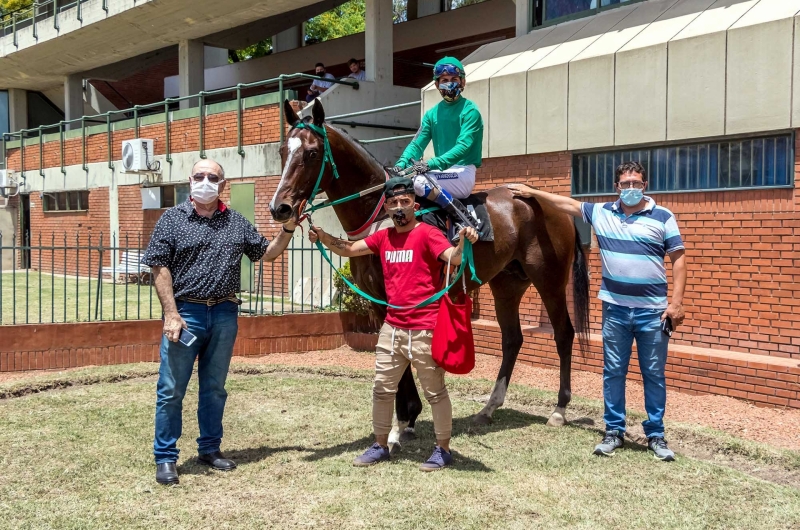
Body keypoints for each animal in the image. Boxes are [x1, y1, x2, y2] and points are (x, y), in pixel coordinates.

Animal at [268, 99, 588, 442]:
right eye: (282, 151)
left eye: (312, 153)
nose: (280, 208)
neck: (381, 213)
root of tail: (548, 203)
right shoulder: (377, 302)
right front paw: (405, 417)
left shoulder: (397, 299)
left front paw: (405, 418)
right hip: (507, 284)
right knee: (512, 339)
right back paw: (489, 408)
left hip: (549, 280)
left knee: (563, 334)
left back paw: (559, 409)